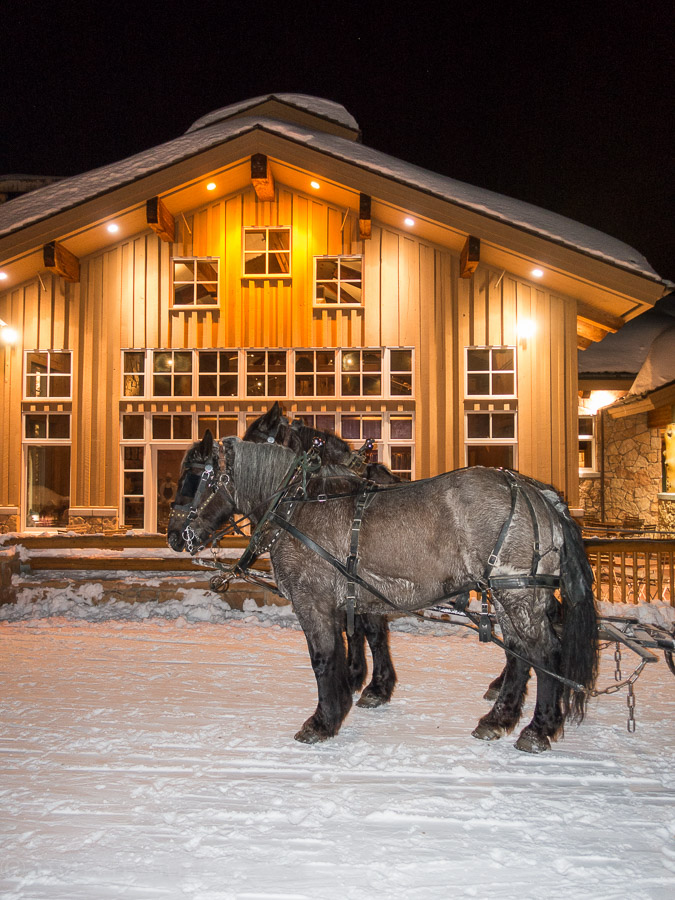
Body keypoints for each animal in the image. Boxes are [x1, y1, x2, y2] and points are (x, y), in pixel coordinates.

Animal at [168, 434, 596, 752]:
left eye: (194, 477)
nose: (174, 536)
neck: (295, 505)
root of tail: (536, 493)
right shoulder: (353, 597)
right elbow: (361, 638)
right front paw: (362, 689)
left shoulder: (313, 600)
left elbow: (324, 658)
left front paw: (324, 719)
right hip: (513, 593)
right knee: (522, 655)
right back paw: (499, 719)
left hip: (516, 593)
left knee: (544, 653)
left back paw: (537, 729)